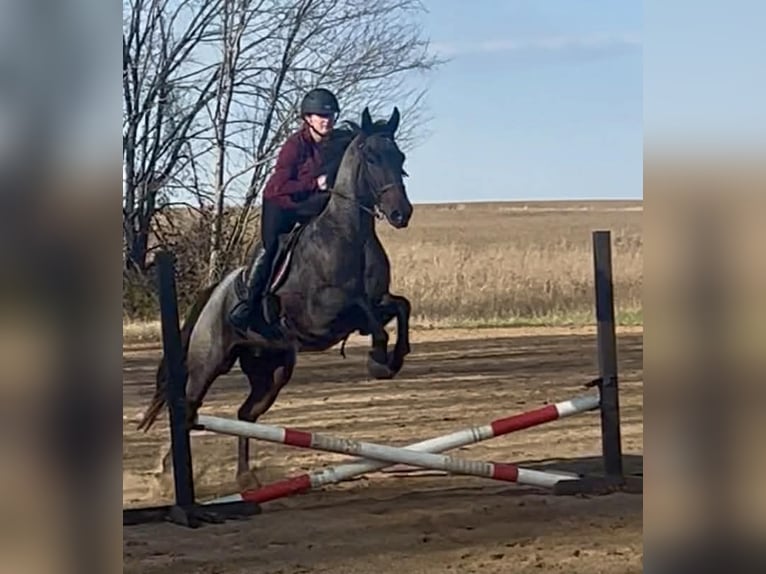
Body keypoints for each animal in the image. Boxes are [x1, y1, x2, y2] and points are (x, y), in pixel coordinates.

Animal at [137, 107, 414, 488]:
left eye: (400, 158)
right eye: (372, 157)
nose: (402, 214)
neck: (349, 236)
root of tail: (214, 293)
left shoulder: (377, 302)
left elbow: (399, 307)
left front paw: (395, 359)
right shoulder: (322, 315)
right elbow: (366, 312)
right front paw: (377, 359)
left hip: (272, 370)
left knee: (245, 415)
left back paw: (244, 478)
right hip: (208, 362)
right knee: (189, 405)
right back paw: (167, 473)